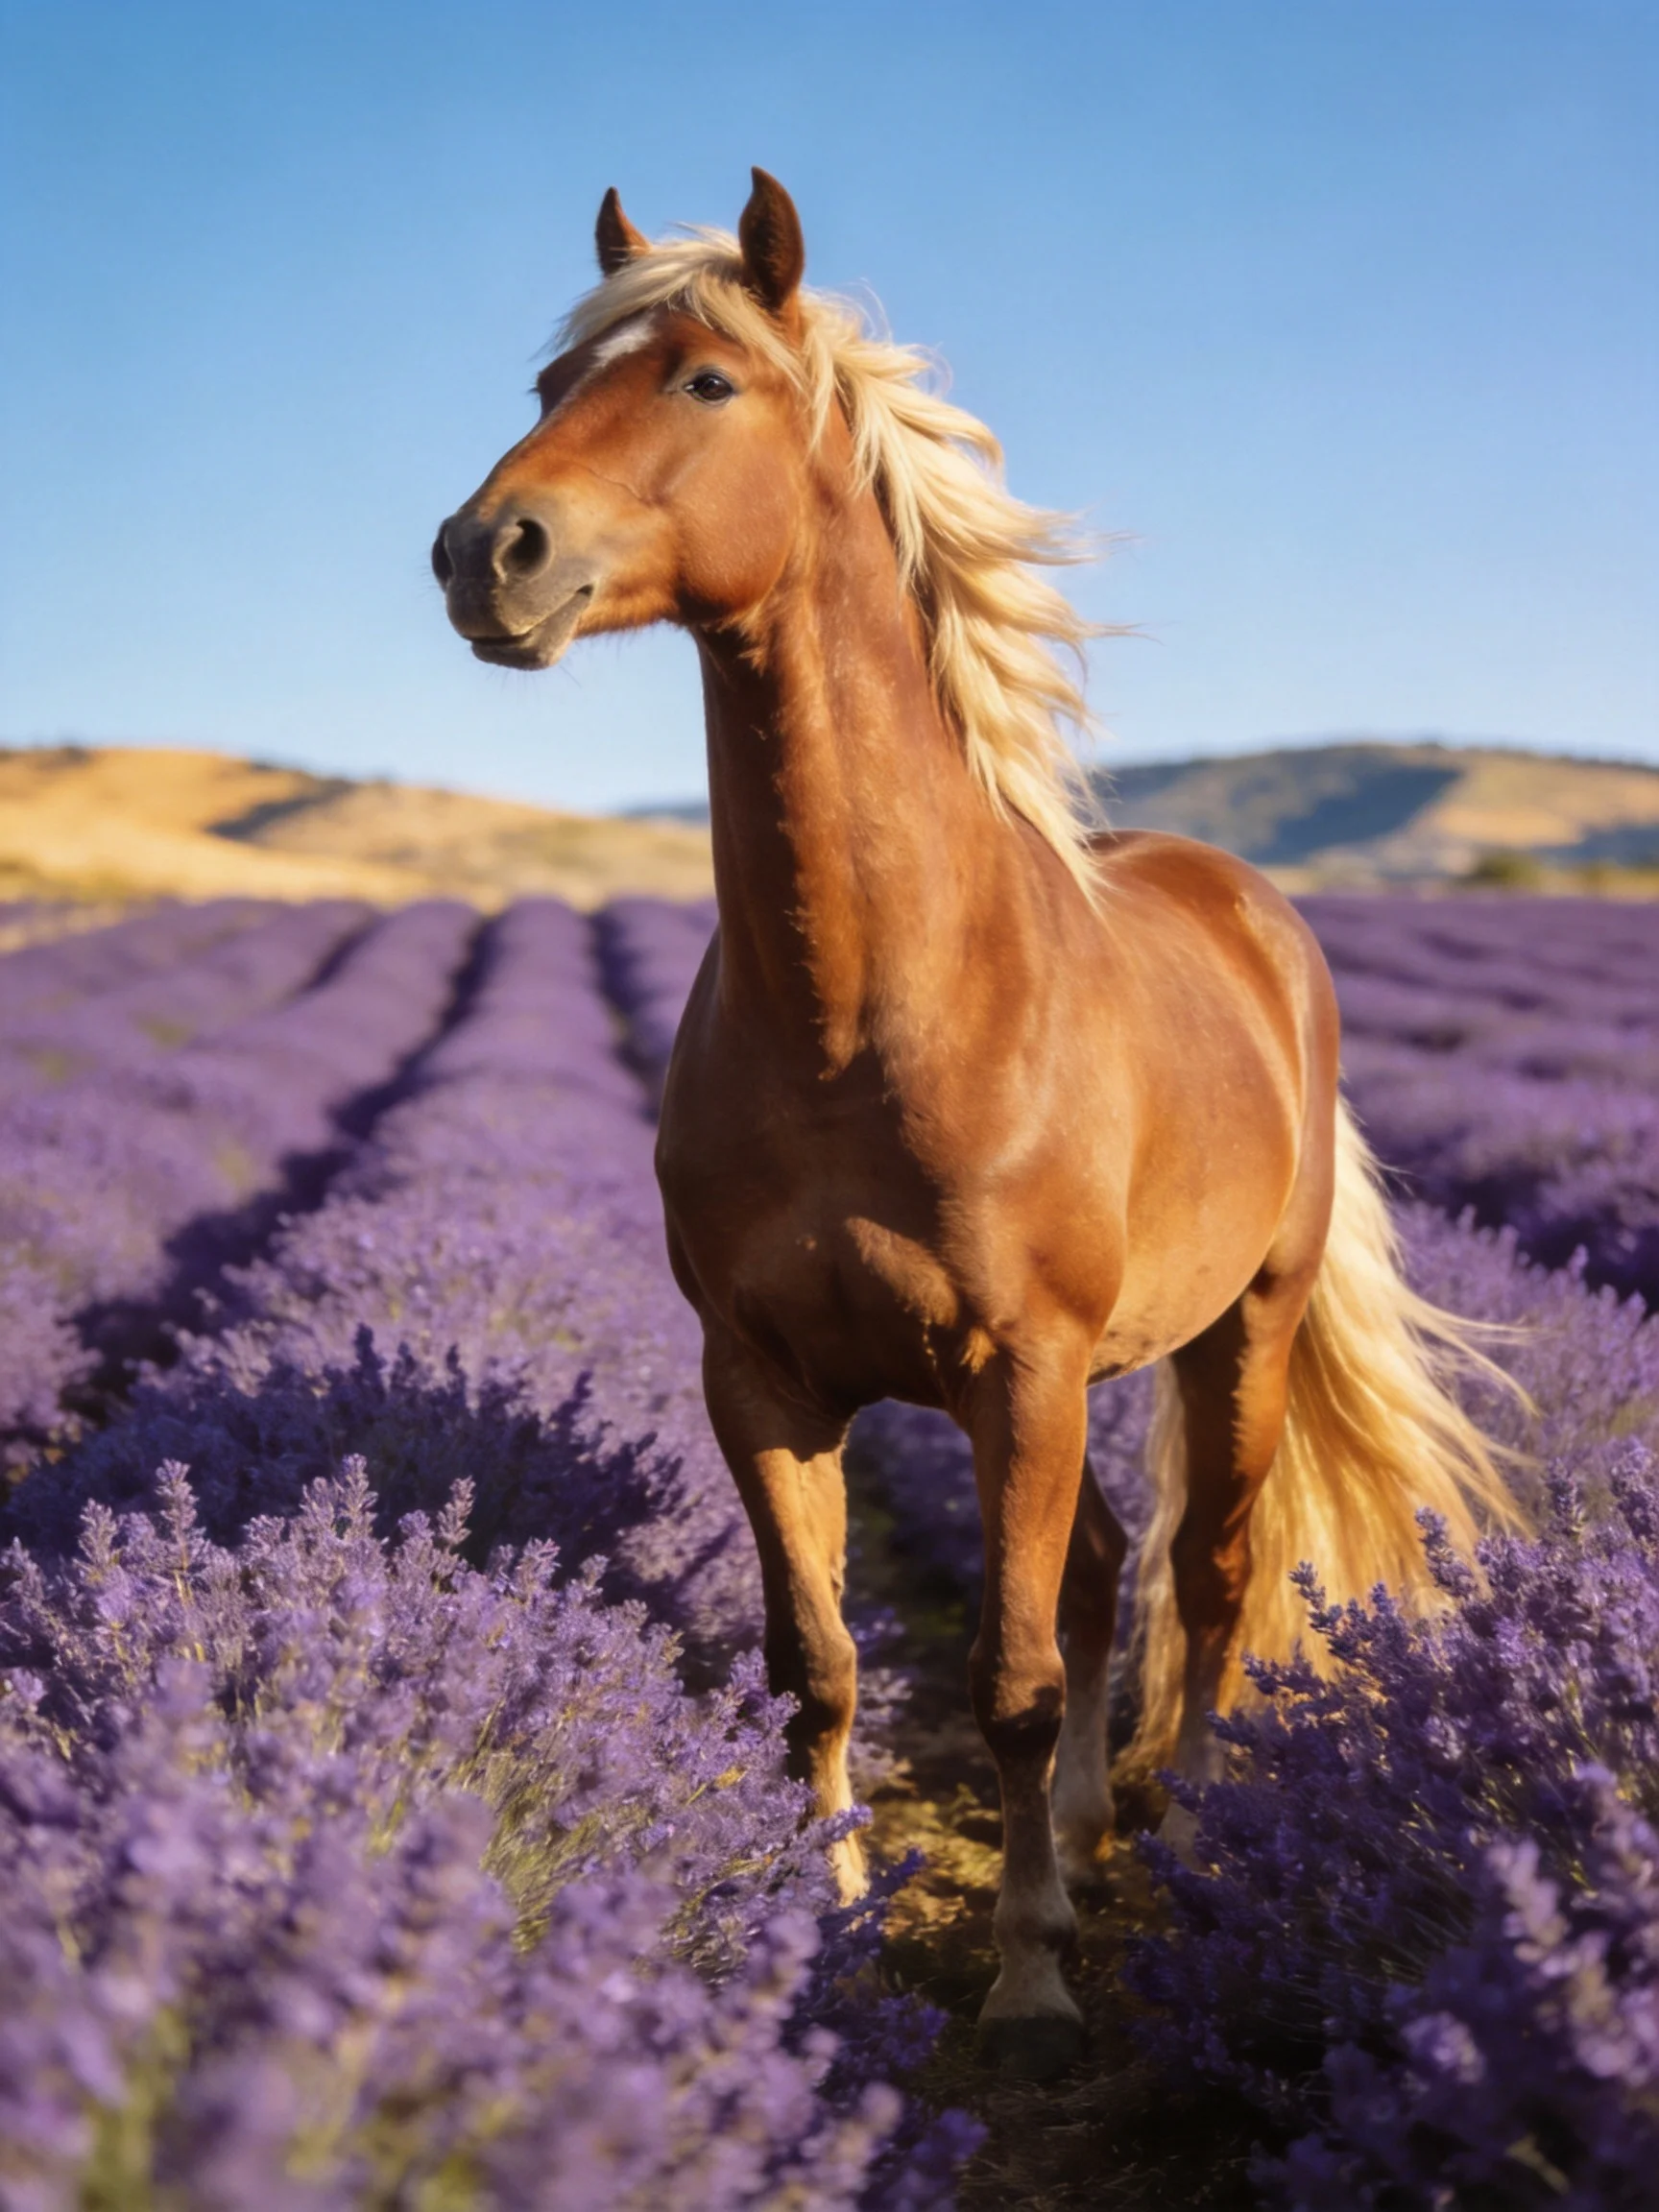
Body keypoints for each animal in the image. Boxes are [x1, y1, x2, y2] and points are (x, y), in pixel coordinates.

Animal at [433, 170, 1519, 2073]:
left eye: (703, 379)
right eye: (547, 383)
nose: (482, 551)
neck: (869, 1010)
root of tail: (1257, 915)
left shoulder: (1023, 1366)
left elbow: (1009, 1678)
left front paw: (1024, 1970)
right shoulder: (765, 1377)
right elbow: (823, 1665)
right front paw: (827, 1922)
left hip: (1234, 1329)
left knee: (1208, 1572)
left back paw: (1186, 1824)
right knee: (1099, 1578)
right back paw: (1086, 1828)